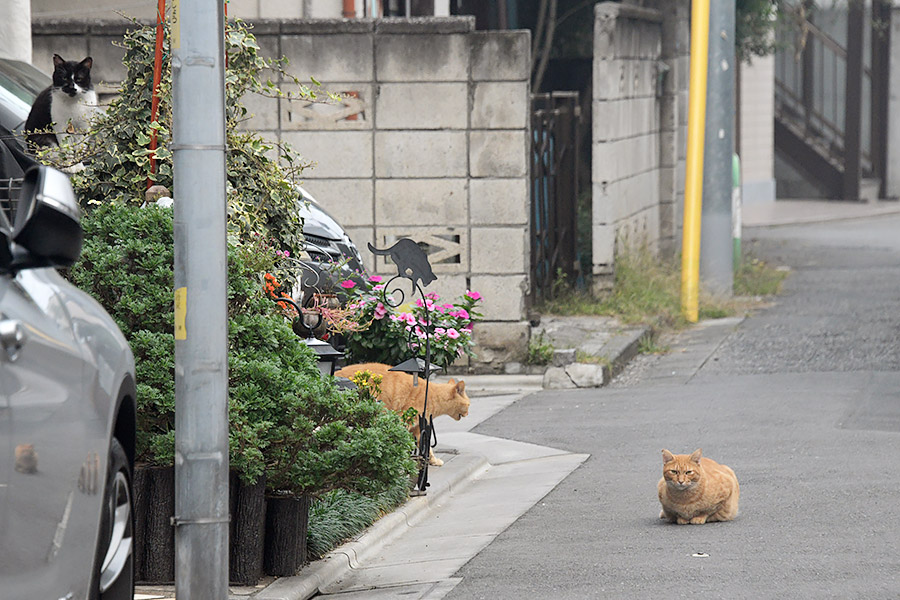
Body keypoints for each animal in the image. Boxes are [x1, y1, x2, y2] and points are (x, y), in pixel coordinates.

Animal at [336, 364, 472, 466]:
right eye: (469, 405)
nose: (468, 413)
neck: (432, 396)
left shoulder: (418, 429)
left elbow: (427, 448)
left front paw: (433, 461)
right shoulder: (403, 422)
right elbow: (398, 443)